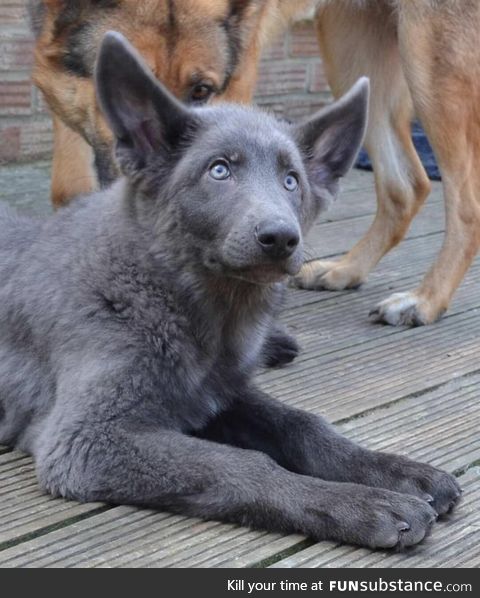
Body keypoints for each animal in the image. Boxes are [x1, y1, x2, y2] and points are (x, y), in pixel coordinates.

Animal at [0, 31, 462, 548]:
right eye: (218, 170)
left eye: (291, 180)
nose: (281, 238)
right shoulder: (86, 440)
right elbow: (243, 466)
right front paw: (363, 505)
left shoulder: (218, 395)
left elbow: (304, 425)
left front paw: (396, 471)